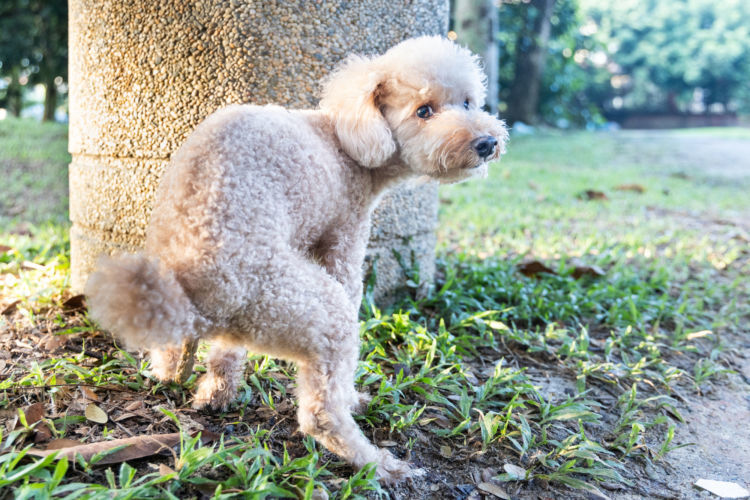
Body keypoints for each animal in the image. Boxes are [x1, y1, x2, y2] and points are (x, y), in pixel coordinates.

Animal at [88, 37, 512, 482]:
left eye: (467, 102)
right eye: (424, 111)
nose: (487, 143)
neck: (346, 141)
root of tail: (196, 284)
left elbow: (225, 352)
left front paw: (217, 388)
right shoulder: (345, 237)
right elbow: (349, 286)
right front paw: (355, 397)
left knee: (178, 355)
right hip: (309, 309)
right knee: (320, 414)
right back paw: (378, 463)